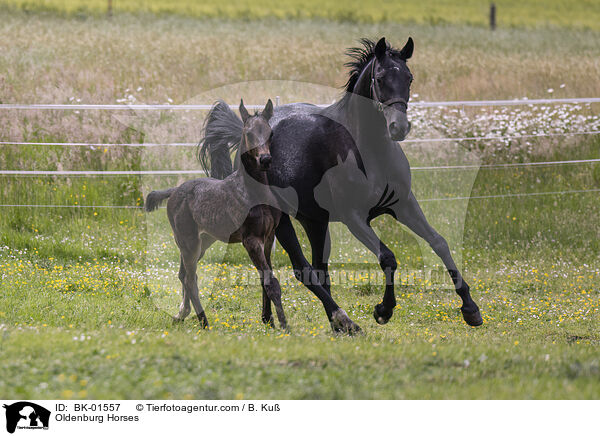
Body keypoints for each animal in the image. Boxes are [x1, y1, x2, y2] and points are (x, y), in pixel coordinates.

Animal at [199, 37, 486, 334]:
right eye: (380, 78)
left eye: (409, 77)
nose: (399, 127)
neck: (370, 151)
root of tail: (245, 132)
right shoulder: (354, 217)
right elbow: (387, 257)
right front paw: (383, 310)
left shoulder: (404, 205)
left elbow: (439, 243)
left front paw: (471, 310)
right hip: (282, 222)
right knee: (301, 269)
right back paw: (342, 320)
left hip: (314, 221)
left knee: (314, 269)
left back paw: (295, 320)